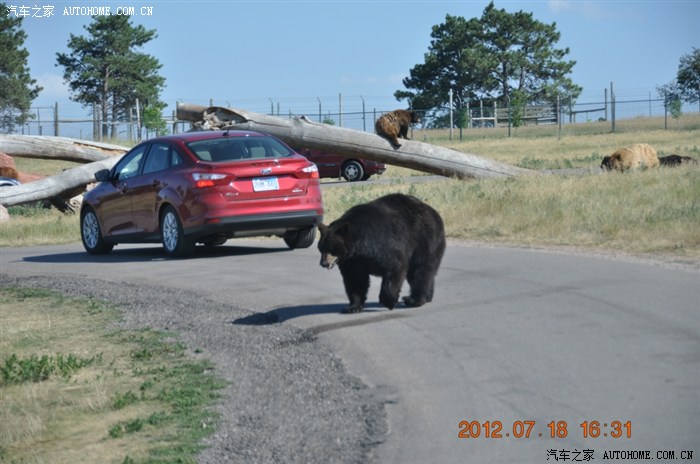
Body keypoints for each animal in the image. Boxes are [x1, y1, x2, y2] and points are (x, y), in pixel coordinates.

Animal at [317, 193, 446, 314]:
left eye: (332, 248)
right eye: (321, 248)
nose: (323, 263)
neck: (359, 247)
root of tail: (433, 211)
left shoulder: (382, 243)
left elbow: (395, 266)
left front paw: (388, 301)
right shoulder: (353, 261)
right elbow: (355, 279)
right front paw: (352, 307)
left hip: (424, 240)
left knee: (420, 270)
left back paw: (413, 299)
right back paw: (427, 297)